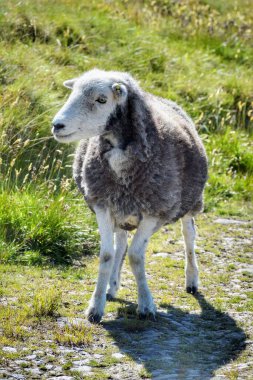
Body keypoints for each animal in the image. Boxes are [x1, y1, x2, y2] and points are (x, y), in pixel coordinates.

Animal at [51, 69, 208, 324]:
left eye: (102, 99)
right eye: (72, 93)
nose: (57, 125)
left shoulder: (154, 210)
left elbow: (136, 256)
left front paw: (146, 304)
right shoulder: (103, 203)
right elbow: (107, 255)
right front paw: (95, 307)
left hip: (190, 201)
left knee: (188, 235)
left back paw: (192, 280)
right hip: (121, 206)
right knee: (121, 242)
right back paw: (112, 286)